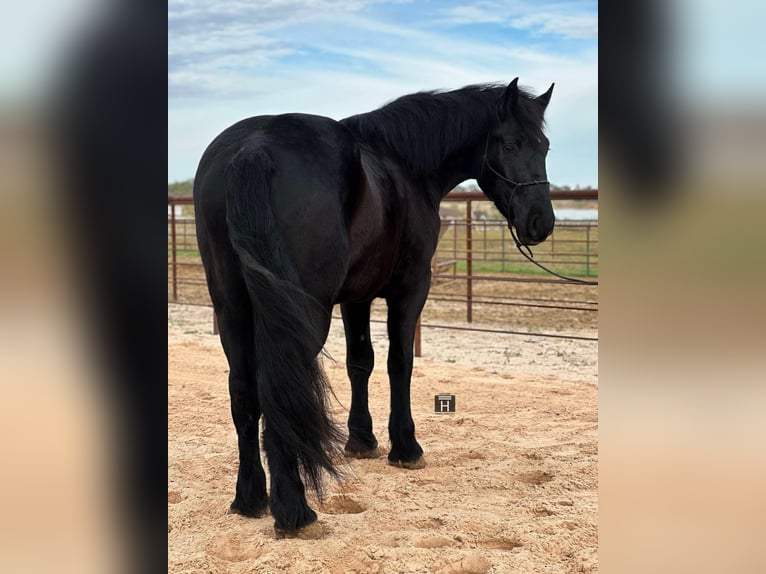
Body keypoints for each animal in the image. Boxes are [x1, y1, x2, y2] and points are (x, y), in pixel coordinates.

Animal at [195, 79, 556, 536]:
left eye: (545, 146)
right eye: (509, 144)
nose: (541, 222)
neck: (403, 165)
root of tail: (253, 149)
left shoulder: (357, 296)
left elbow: (360, 362)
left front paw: (361, 441)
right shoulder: (411, 287)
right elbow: (399, 362)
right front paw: (405, 447)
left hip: (232, 309)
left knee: (244, 391)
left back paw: (250, 498)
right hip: (302, 314)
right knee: (283, 386)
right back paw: (294, 510)